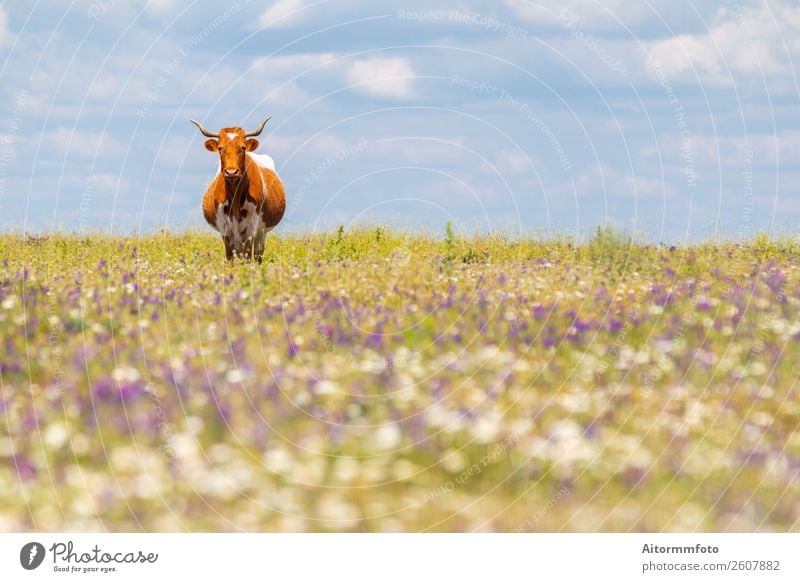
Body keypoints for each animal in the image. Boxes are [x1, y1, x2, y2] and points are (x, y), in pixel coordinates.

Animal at [192, 116, 286, 262]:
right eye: (220, 148)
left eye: (242, 147)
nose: (231, 172)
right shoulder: (225, 229)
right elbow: (230, 257)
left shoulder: (251, 228)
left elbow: (247, 257)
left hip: (261, 232)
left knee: (258, 255)